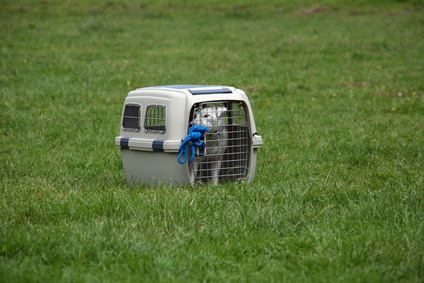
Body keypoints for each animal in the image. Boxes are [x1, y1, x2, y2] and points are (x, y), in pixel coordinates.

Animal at [116, 84, 262, 186]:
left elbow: (214, 175)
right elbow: (194, 174)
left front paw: (214, 186)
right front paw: (194, 184)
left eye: (206, 115)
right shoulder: (195, 160)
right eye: (195, 115)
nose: (191, 124)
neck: (211, 139)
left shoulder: (217, 159)